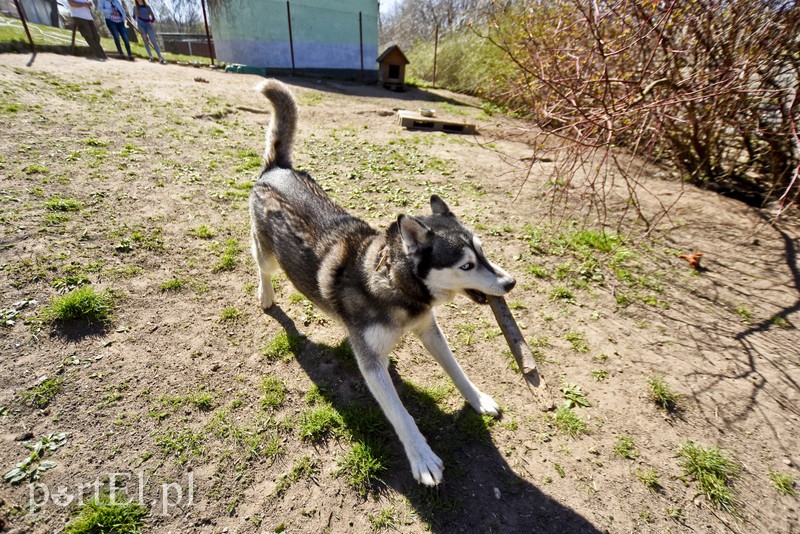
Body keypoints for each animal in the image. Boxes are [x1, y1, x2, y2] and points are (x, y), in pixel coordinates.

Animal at [247, 78, 516, 486]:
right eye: (467, 265)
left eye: (483, 253)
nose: (510, 283)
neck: (397, 288)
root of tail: (277, 169)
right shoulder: (370, 362)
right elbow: (401, 414)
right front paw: (421, 457)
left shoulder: (428, 327)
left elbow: (456, 368)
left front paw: (477, 398)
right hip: (268, 257)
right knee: (262, 267)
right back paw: (265, 295)